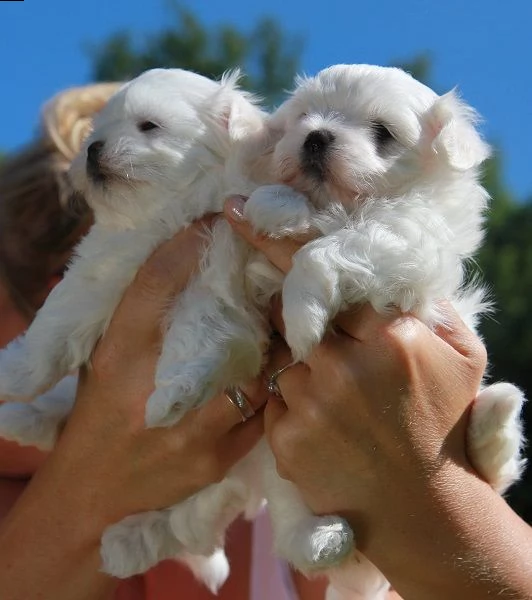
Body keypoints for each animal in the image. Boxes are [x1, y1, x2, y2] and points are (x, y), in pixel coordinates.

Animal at [242, 63, 528, 596]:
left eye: (383, 133)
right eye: (305, 117)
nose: (315, 136)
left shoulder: (409, 240)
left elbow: (330, 248)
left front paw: (303, 317)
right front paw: (277, 204)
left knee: (495, 471)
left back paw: (496, 411)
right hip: (278, 469)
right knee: (296, 537)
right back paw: (326, 539)